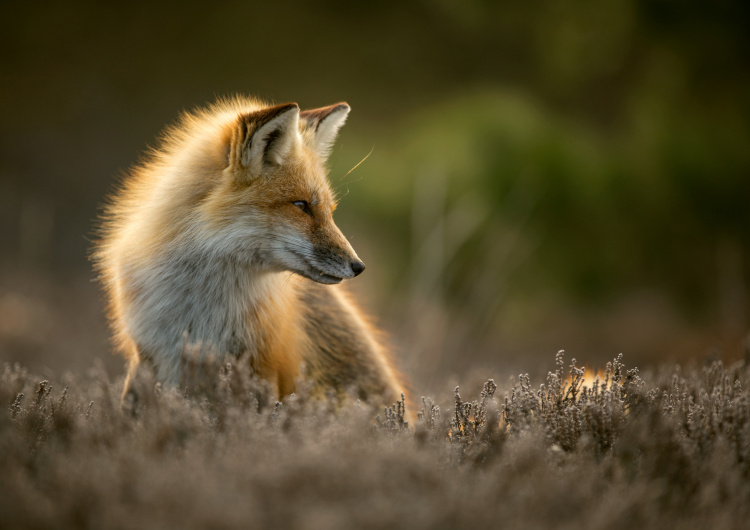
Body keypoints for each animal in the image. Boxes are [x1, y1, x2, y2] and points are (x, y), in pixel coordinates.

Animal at [94, 95, 412, 412]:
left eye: (329, 211)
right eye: (301, 205)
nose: (358, 266)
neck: (199, 309)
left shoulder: (261, 365)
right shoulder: (148, 352)